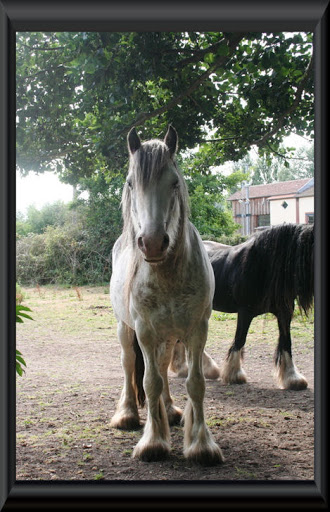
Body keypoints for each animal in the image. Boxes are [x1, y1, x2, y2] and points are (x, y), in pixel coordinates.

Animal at [111, 127, 224, 464]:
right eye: (131, 183)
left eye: (174, 183)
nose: (151, 242)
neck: (167, 274)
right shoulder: (146, 331)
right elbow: (148, 382)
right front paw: (153, 442)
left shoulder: (197, 329)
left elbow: (195, 383)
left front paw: (201, 445)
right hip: (126, 330)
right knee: (129, 364)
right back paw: (128, 414)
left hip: (170, 335)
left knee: (161, 368)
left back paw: (171, 411)